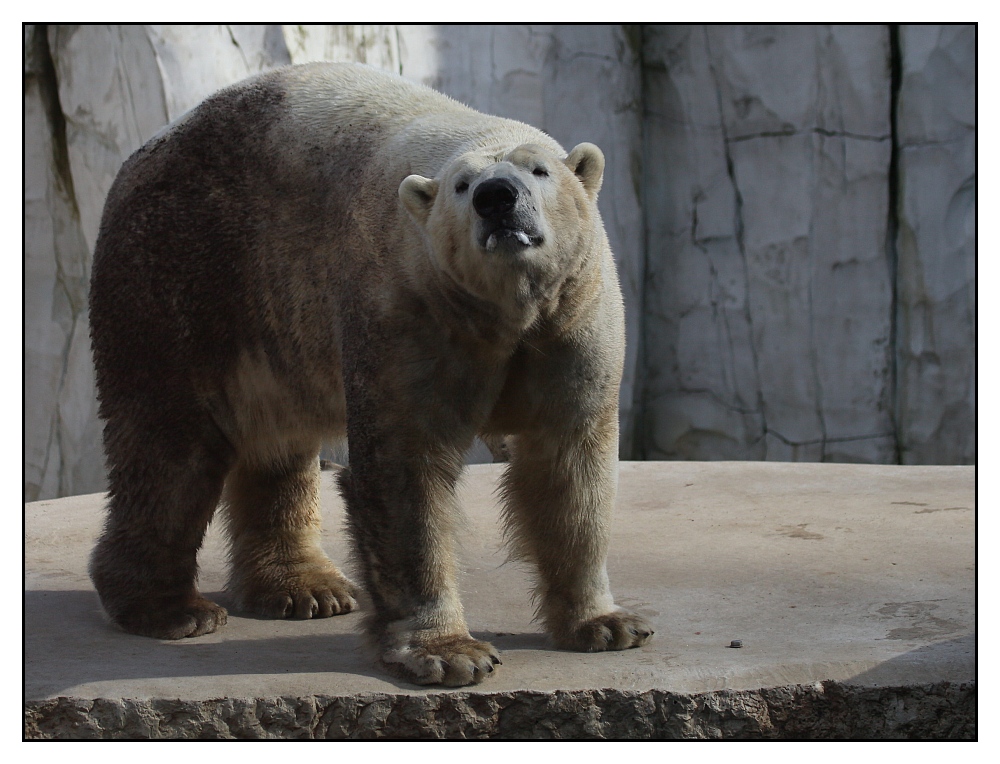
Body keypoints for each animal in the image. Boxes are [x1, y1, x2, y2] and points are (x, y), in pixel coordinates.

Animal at [90, 64, 652, 688]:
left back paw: (304, 589)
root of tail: (142, 155)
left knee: (275, 441)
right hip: (181, 271)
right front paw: (449, 652)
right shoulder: (405, 308)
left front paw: (607, 624)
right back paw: (169, 609)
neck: (503, 314)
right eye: (461, 185)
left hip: (272, 320)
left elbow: (568, 466)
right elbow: (406, 471)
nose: (497, 198)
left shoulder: (571, 318)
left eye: (540, 169)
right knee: (169, 446)